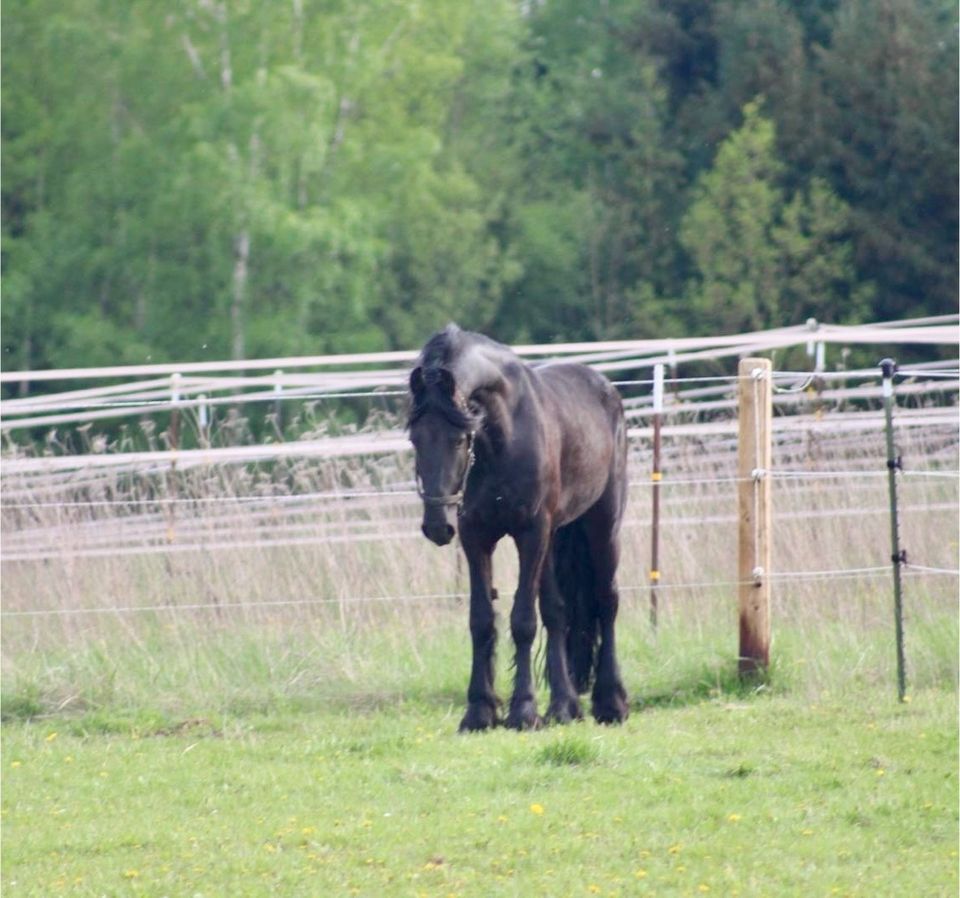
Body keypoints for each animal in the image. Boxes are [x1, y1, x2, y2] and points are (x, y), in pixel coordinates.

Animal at [406, 322, 628, 728]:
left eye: (459, 440)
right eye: (415, 439)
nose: (436, 526)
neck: (501, 437)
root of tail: (605, 387)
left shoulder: (530, 532)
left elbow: (523, 620)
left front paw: (523, 710)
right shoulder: (475, 536)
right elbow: (481, 620)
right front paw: (479, 711)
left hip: (602, 525)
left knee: (607, 601)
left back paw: (611, 703)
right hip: (554, 539)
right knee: (557, 611)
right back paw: (563, 706)